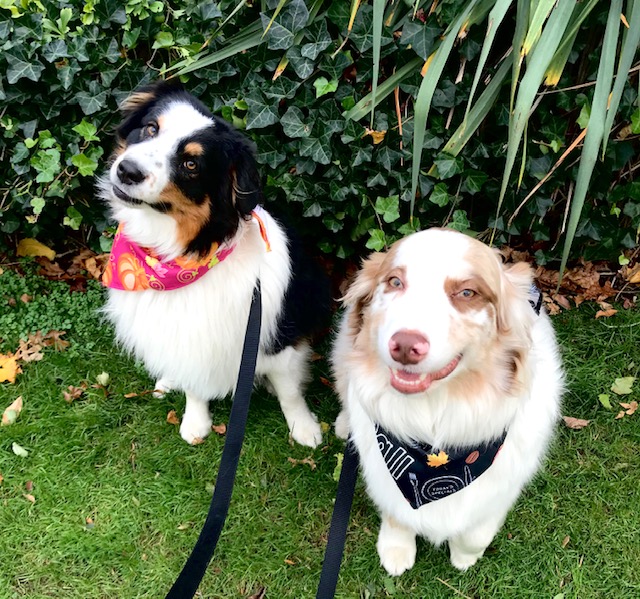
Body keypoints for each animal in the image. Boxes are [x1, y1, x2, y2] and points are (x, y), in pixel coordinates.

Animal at [100, 81, 332, 446]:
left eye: (191, 164)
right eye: (151, 128)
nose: (127, 171)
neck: (179, 257)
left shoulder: (280, 334)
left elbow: (289, 390)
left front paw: (304, 427)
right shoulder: (192, 341)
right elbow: (195, 385)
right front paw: (196, 422)